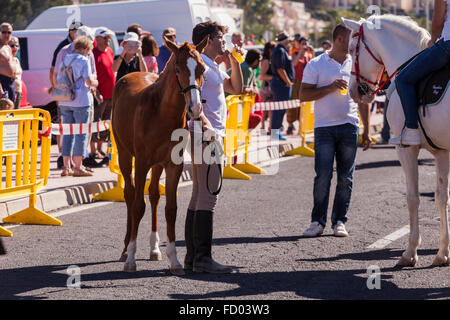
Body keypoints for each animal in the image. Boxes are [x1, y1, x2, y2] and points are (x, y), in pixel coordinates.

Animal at [114, 36, 209, 274]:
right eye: (178, 68)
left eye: (202, 68)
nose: (195, 108)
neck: (161, 113)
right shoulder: (141, 163)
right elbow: (138, 205)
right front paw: (131, 259)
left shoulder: (173, 164)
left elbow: (171, 209)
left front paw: (174, 260)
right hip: (124, 154)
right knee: (130, 194)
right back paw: (125, 249)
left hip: (157, 165)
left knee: (155, 195)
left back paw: (154, 249)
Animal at [342, 14, 448, 268]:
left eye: (351, 48)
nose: (354, 92)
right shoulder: (442, 152)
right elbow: (441, 198)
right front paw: (442, 253)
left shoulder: (405, 148)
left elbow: (412, 198)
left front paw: (410, 252)